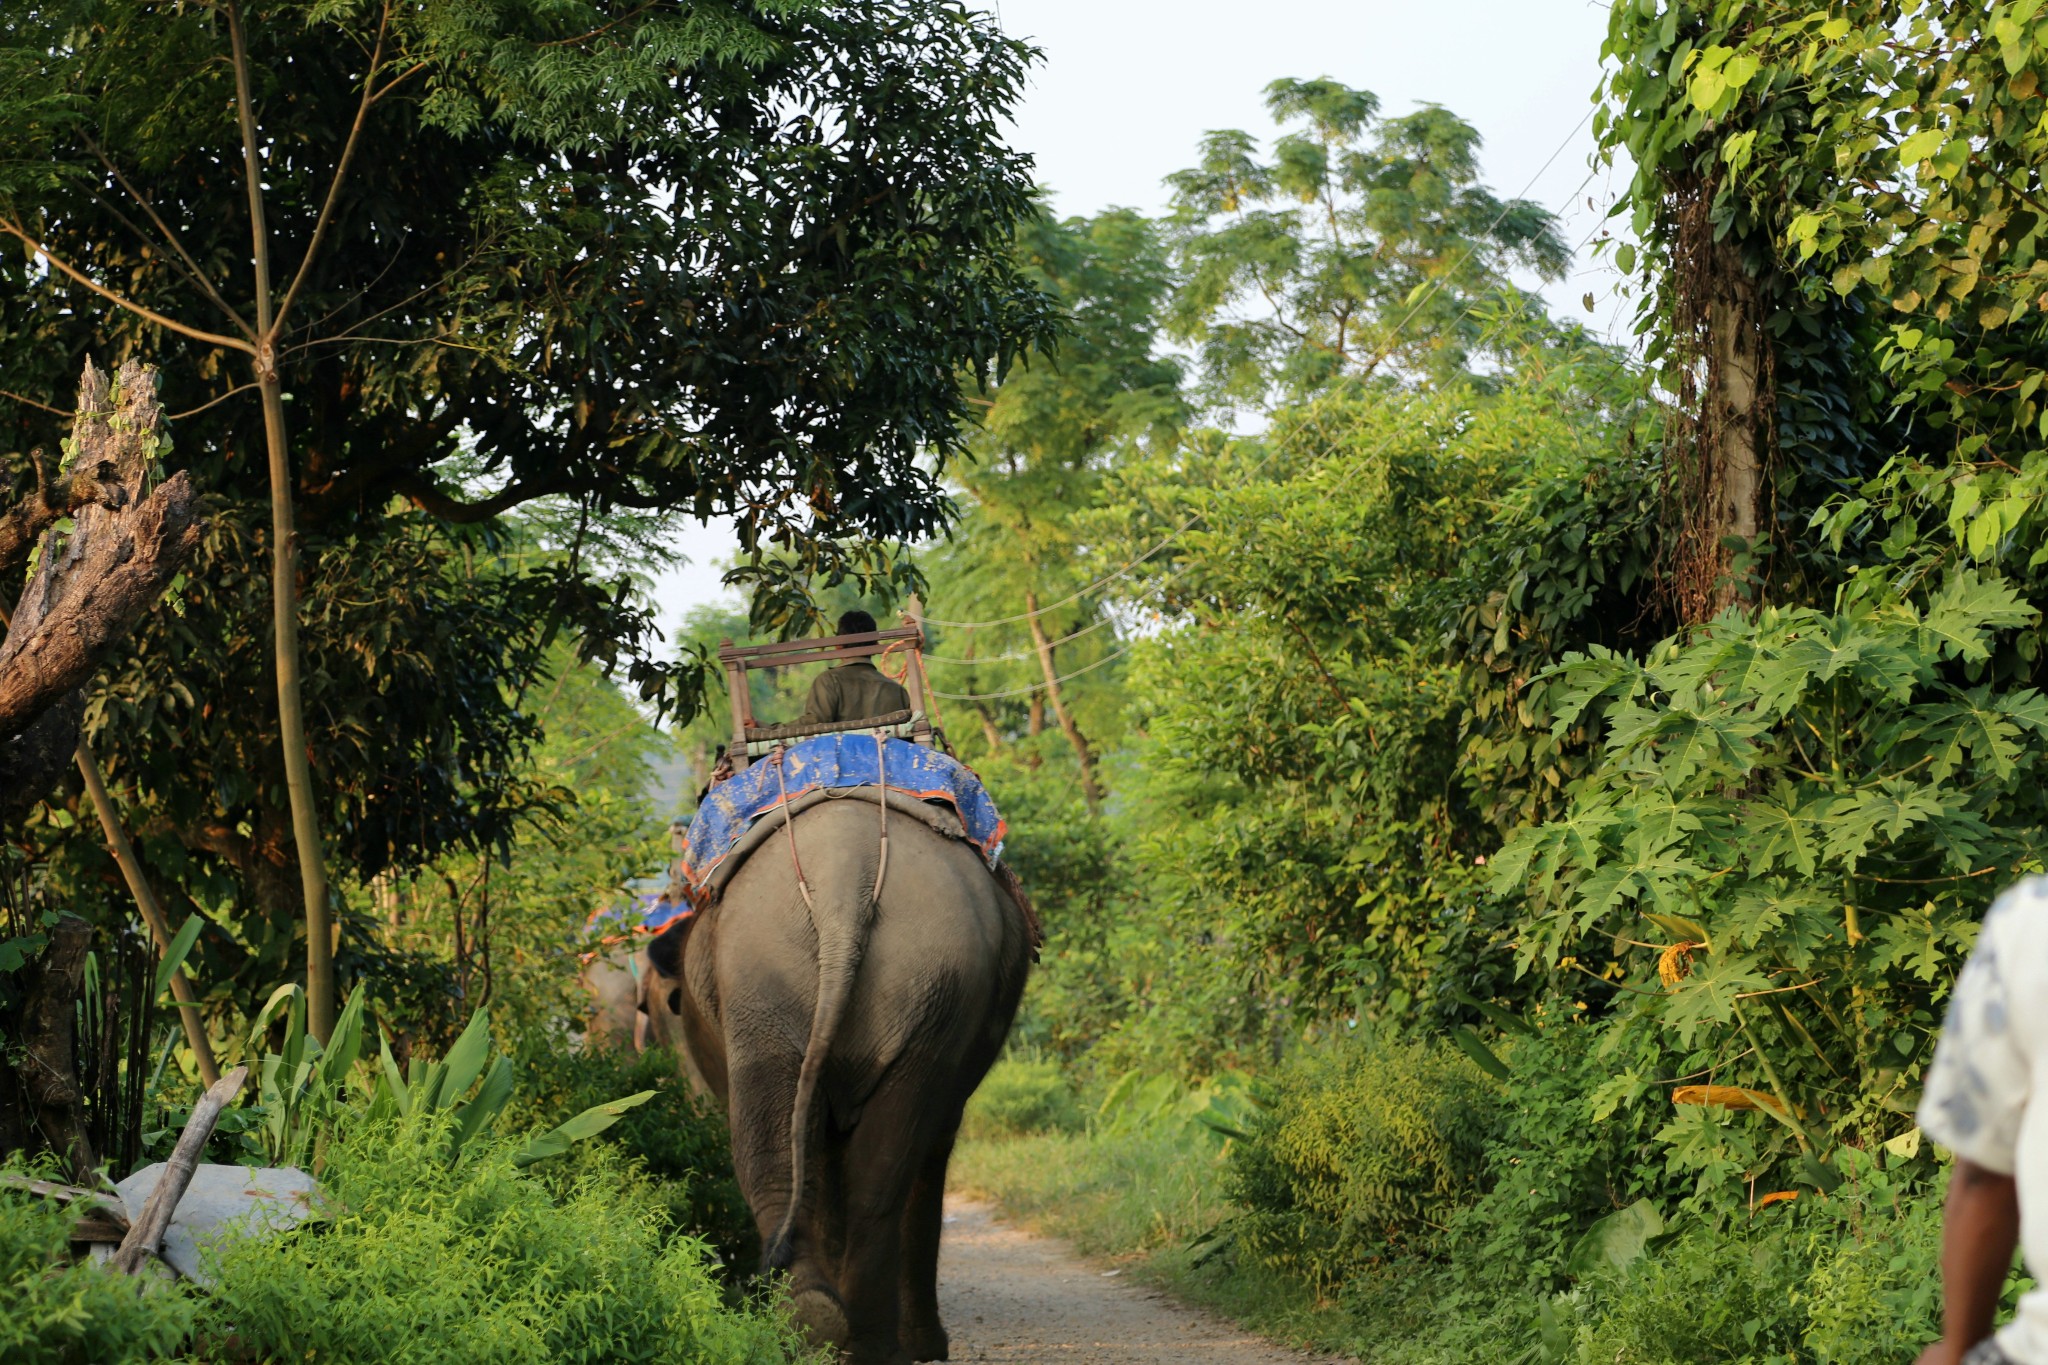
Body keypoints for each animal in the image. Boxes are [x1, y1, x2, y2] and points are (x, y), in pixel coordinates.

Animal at [643, 789, 1032, 1365]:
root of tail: (844, 876)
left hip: (891, 982)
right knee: (872, 1169)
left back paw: (827, 1328)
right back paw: (846, 1334)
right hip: (883, 982)